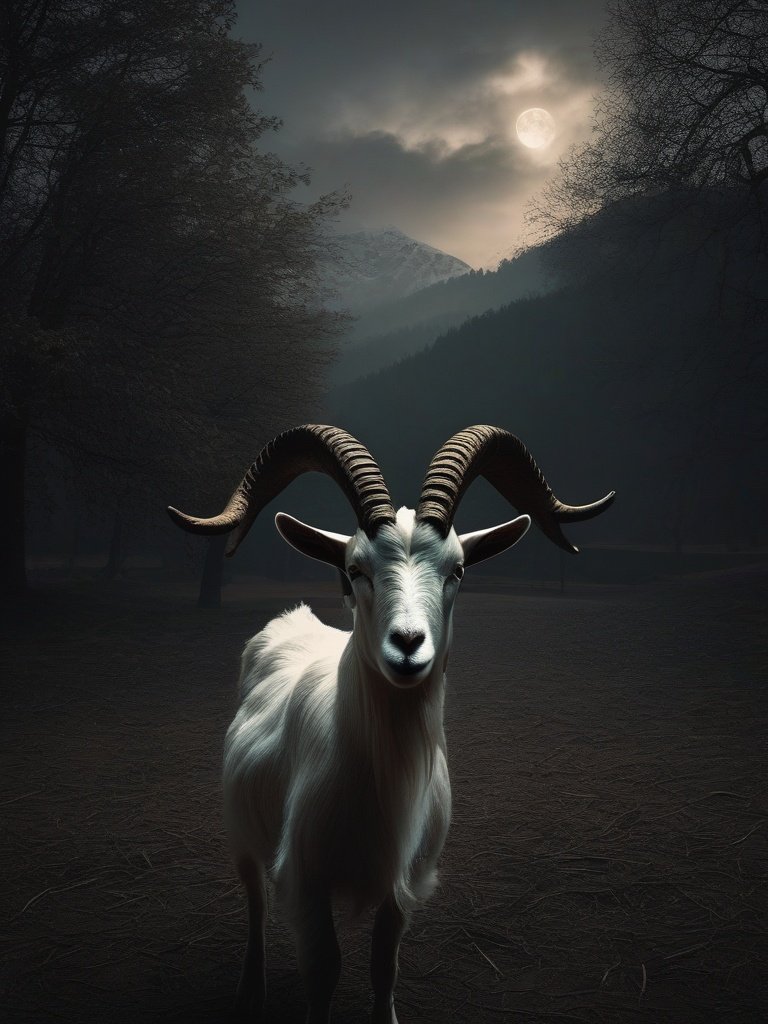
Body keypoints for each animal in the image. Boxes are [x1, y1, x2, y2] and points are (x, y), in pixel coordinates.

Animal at [168, 424, 614, 1024]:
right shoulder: (307, 882)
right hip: (241, 831)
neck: (378, 777)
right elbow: (324, 971)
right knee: (255, 903)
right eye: (356, 568)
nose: (407, 645)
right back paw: (250, 990)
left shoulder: (400, 887)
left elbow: (385, 966)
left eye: (457, 570)